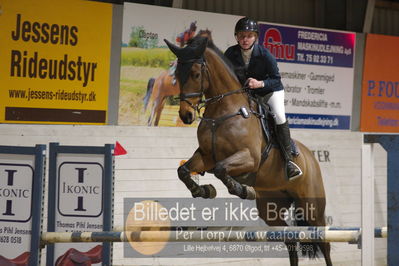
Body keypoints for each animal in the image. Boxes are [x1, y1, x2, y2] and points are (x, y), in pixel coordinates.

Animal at [164, 37, 332, 266]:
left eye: (196, 74)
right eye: (177, 75)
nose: (186, 115)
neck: (223, 111)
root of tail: (311, 159)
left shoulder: (249, 158)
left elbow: (221, 169)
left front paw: (242, 189)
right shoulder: (206, 157)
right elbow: (184, 171)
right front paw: (204, 190)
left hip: (311, 206)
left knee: (324, 242)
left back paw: (291, 169)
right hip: (271, 207)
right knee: (290, 239)